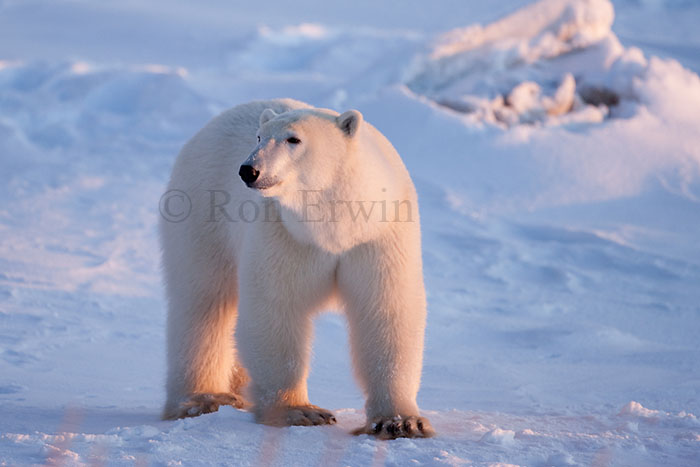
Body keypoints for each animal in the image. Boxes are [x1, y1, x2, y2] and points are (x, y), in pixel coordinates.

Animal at [160, 98, 433, 439]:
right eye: (259, 137)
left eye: (294, 139)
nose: (249, 170)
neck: (336, 226)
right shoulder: (284, 231)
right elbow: (276, 309)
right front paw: (301, 411)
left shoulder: (378, 235)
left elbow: (386, 311)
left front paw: (401, 421)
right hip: (201, 213)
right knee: (204, 303)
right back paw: (203, 398)